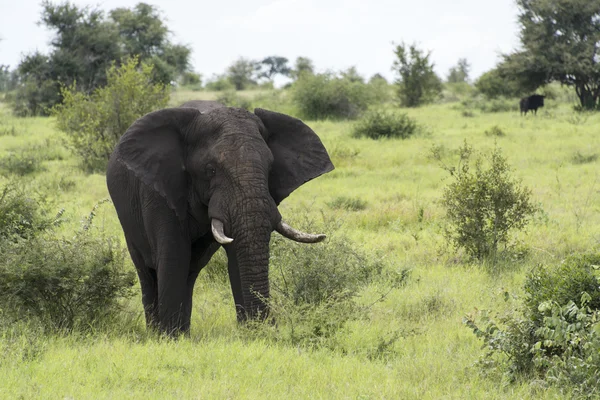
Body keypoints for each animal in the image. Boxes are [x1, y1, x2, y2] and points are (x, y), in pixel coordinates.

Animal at [106, 100, 332, 334]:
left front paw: (253, 333)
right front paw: (169, 337)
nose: (270, 326)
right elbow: (174, 256)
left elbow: (236, 255)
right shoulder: (162, 190)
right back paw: (158, 332)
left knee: (190, 271)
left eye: (270, 168)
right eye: (210, 170)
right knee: (148, 271)